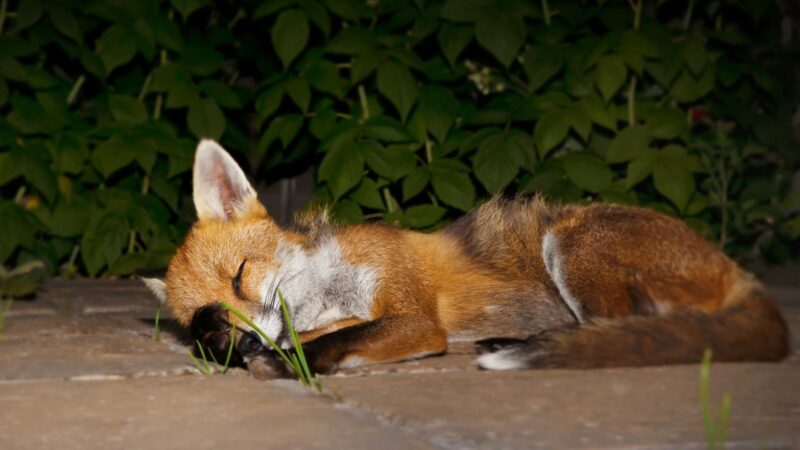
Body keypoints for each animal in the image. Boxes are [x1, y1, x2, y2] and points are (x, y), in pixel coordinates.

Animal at [142, 140, 788, 372]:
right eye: (205, 318)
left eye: (240, 275)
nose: (246, 345)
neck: (326, 289)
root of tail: (740, 274)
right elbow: (319, 335)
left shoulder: (416, 316)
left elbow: (335, 341)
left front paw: (289, 362)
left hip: (572, 244)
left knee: (626, 325)